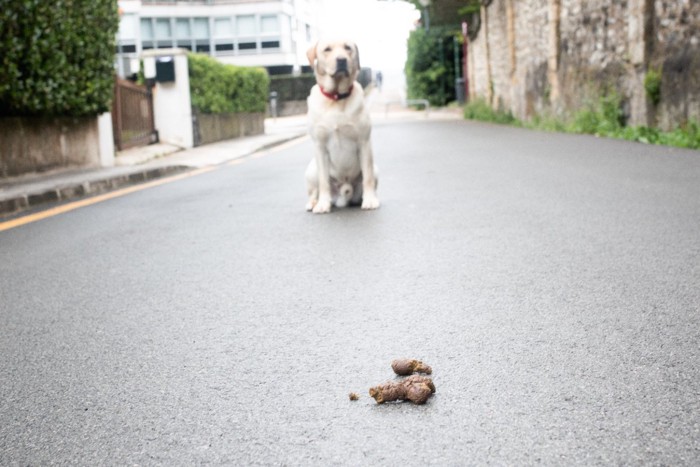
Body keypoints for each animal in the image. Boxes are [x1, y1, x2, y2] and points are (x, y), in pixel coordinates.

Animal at [302, 38, 378, 214]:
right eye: (327, 49)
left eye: (347, 48)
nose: (342, 60)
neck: (336, 98)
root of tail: (342, 196)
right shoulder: (320, 147)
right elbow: (323, 181)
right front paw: (322, 204)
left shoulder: (364, 143)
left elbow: (368, 178)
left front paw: (370, 200)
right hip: (311, 170)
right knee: (314, 190)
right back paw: (314, 203)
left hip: (375, 167)